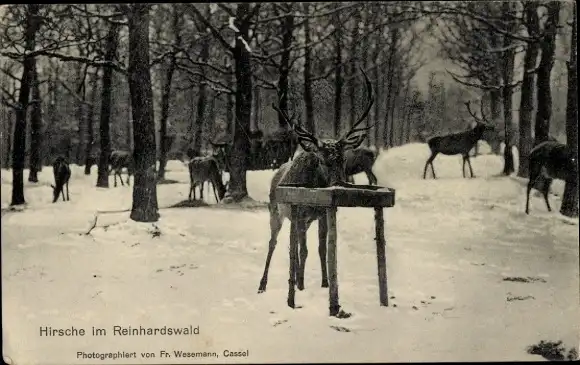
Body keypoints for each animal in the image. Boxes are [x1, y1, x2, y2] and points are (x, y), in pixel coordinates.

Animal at [256, 67, 374, 302]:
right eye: (322, 160)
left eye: (343, 159)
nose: (339, 183)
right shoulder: (301, 213)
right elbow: (305, 250)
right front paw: (301, 285)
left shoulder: (321, 214)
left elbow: (321, 249)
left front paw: (324, 283)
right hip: (276, 211)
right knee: (274, 243)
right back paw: (263, 284)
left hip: (298, 219)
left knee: (292, 245)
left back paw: (292, 277)